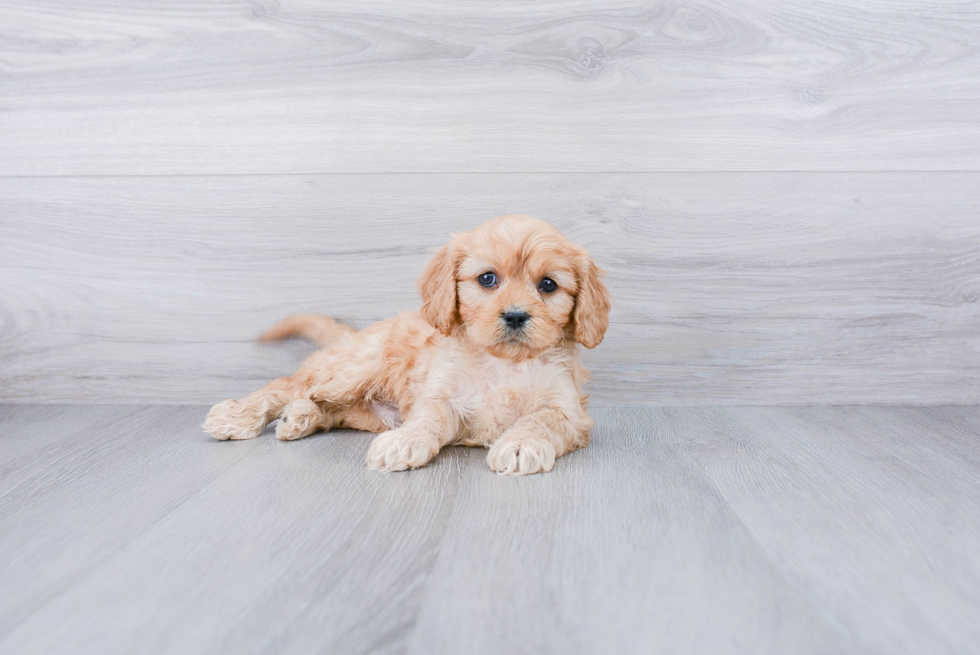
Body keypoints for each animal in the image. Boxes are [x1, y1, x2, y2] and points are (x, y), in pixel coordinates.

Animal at [203, 215, 608, 476]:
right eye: (487, 279)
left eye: (548, 285)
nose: (515, 316)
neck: (505, 364)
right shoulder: (441, 396)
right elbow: (427, 419)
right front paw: (405, 442)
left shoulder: (568, 410)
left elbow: (541, 420)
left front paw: (520, 444)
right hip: (353, 371)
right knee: (288, 387)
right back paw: (239, 416)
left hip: (366, 410)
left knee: (330, 409)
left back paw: (300, 418)